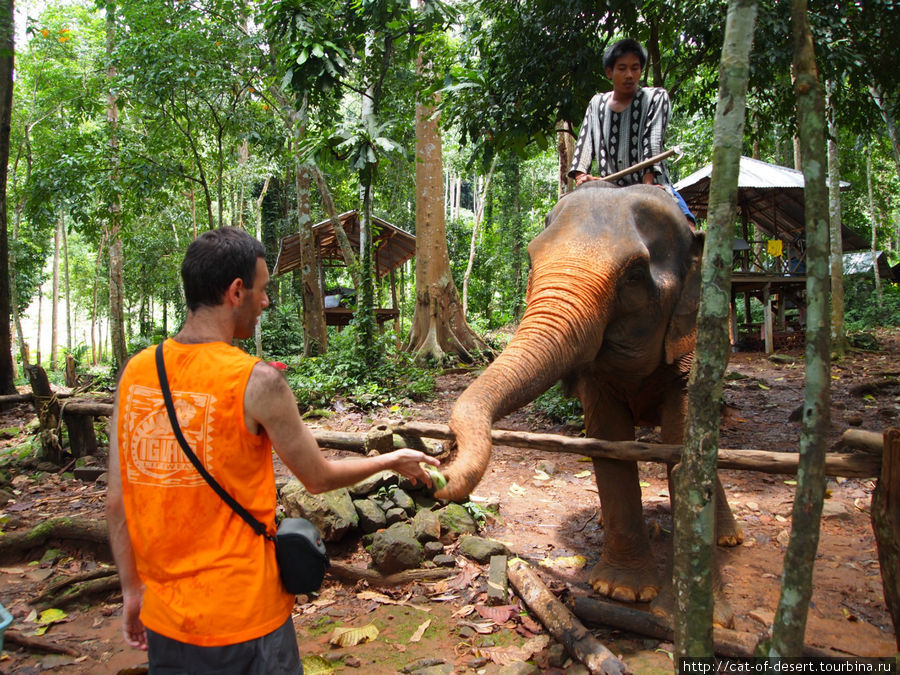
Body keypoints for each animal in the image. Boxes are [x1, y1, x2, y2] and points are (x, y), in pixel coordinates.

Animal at [434, 181, 740, 616]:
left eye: (634, 276)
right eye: (531, 260)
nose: (439, 473)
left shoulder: (691, 346)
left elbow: (682, 444)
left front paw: (687, 606)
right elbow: (610, 445)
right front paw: (623, 591)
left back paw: (727, 538)